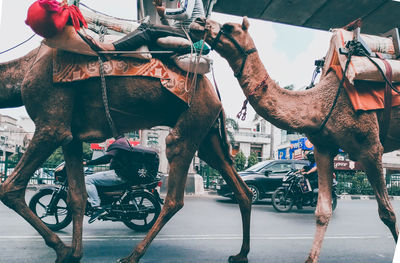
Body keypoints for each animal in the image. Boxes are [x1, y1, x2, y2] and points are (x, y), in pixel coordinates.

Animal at [0, 45, 252, 263]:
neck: (26, 67)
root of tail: (216, 95)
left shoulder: (51, 124)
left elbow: (9, 189)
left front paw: (62, 250)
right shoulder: (71, 136)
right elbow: (77, 196)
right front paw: (75, 254)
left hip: (194, 117)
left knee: (173, 195)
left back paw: (133, 255)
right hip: (208, 132)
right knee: (239, 185)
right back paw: (241, 254)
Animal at [191, 17, 400, 262]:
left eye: (228, 27)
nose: (197, 22)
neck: (321, 103)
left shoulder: (371, 147)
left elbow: (387, 213)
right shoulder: (324, 148)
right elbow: (322, 212)